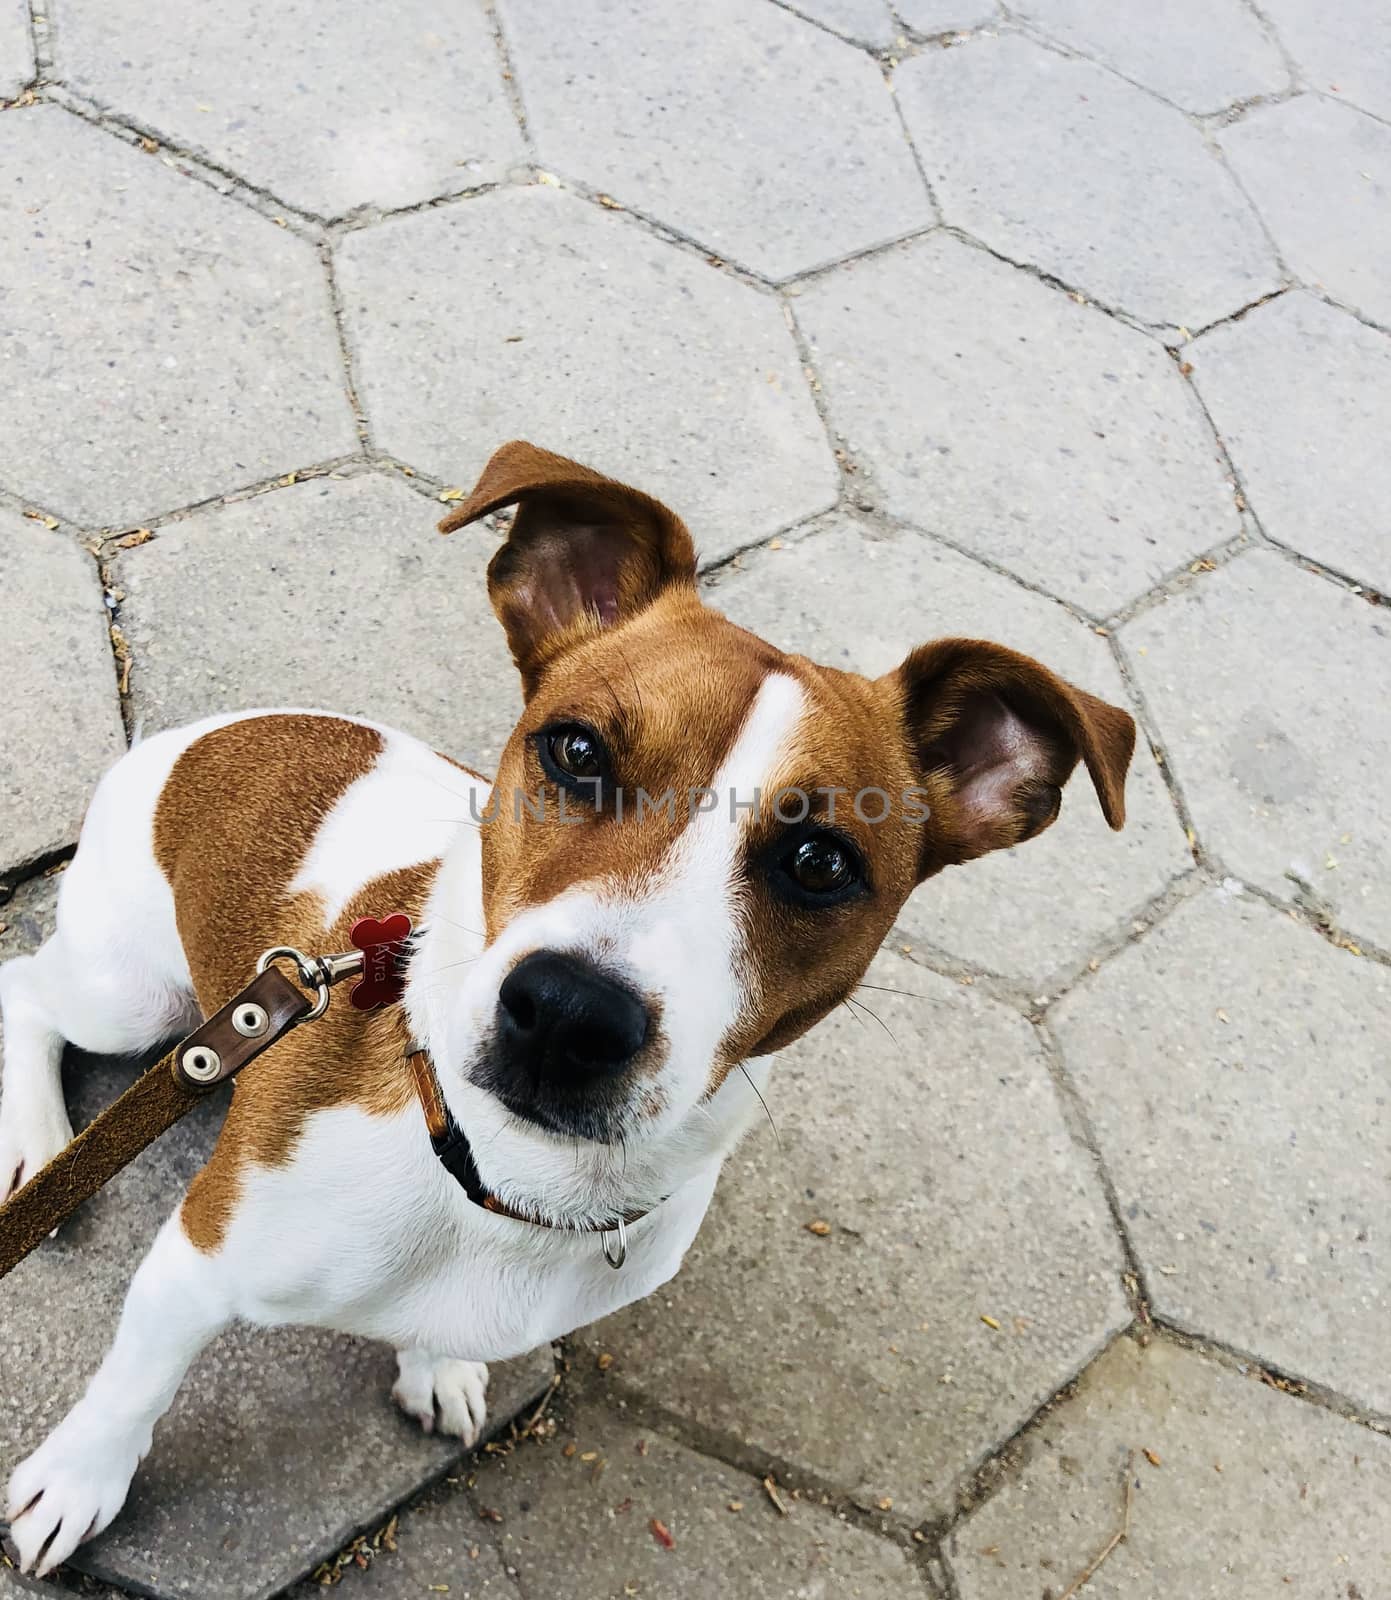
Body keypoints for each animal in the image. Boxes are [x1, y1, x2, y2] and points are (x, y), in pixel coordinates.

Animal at [0, 441, 1133, 1574]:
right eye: (576, 751)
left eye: (820, 861)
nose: (568, 1014)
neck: (501, 1186)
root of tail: (194, 738)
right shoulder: (193, 1267)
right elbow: (135, 1387)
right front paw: (79, 1480)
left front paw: (434, 1364)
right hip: (134, 997)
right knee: (26, 989)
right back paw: (39, 1145)